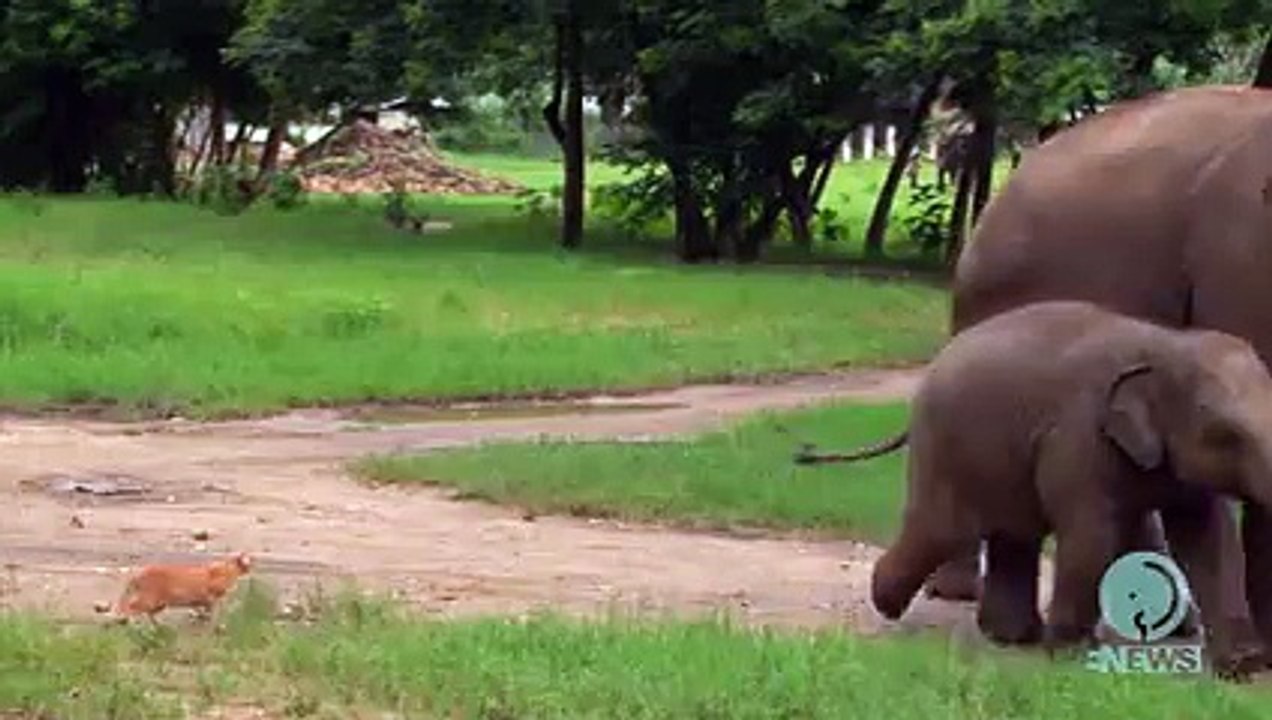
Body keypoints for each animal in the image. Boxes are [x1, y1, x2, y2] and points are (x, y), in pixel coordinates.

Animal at [870, 299, 1272, 676]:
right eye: (1226, 434)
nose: (1259, 660)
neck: (1165, 344)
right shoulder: (1079, 436)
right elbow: (1092, 536)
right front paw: (1073, 656)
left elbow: (1210, 538)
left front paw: (1243, 666)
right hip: (945, 446)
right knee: (943, 530)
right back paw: (885, 605)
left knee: (1013, 533)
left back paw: (1012, 636)